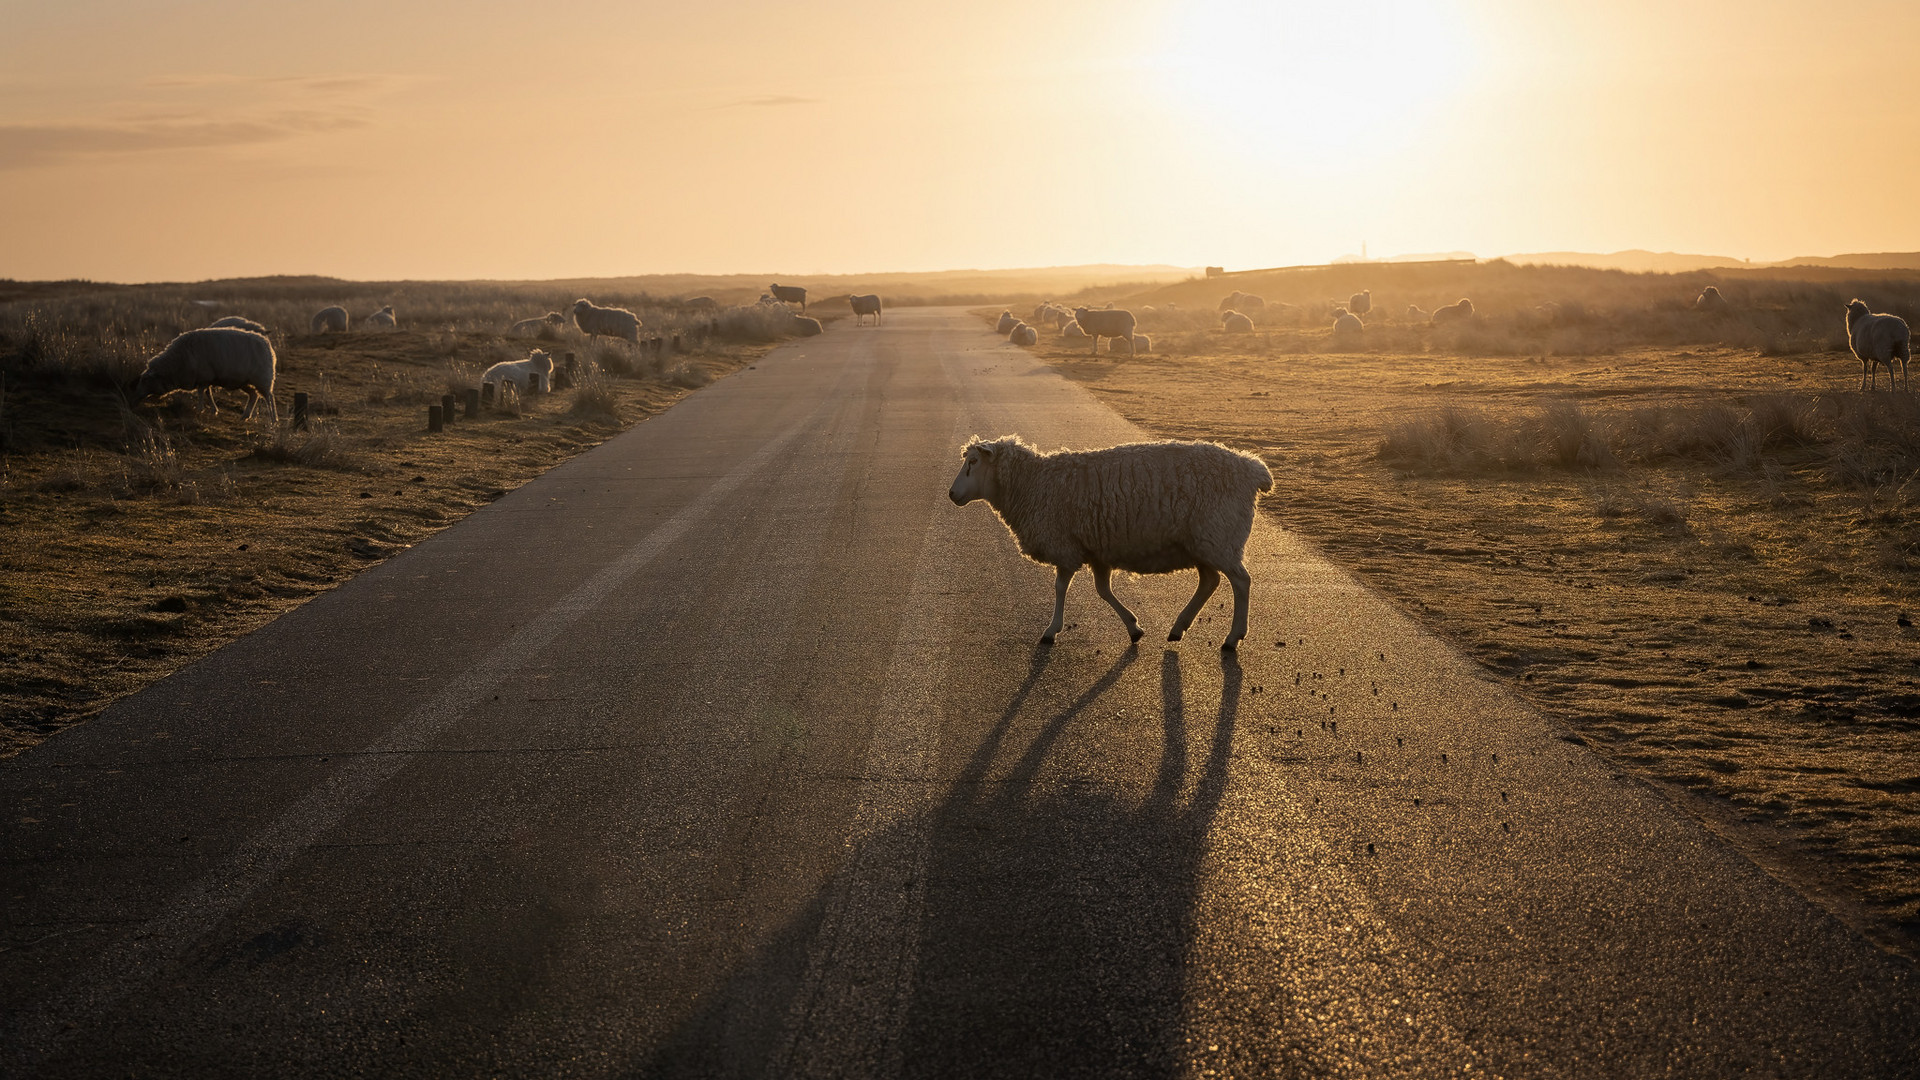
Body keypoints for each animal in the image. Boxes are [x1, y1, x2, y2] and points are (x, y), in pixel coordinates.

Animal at [133, 322, 278, 420]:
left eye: (145, 380)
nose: (136, 396)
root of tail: (266, 344)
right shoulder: (206, 378)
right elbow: (208, 392)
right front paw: (213, 410)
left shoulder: (204, 376)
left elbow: (201, 392)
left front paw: (200, 409)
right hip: (245, 381)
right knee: (254, 395)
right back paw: (245, 416)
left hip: (263, 379)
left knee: (269, 398)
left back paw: (273, 419)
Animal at [948, 430, 1274, 645]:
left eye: (973, 462)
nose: (951, 494)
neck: (1033, 484)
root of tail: (1254, 469)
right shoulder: (1097, 551)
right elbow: (1103, 591)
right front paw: (1133, 627)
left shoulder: (1066, 546)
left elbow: (1060, 588)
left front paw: (1051, 630)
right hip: (1204, 542)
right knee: (1210, 581)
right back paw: (1178, 627)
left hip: (1220, 536)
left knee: (1240, 581)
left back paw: (1233, 637)